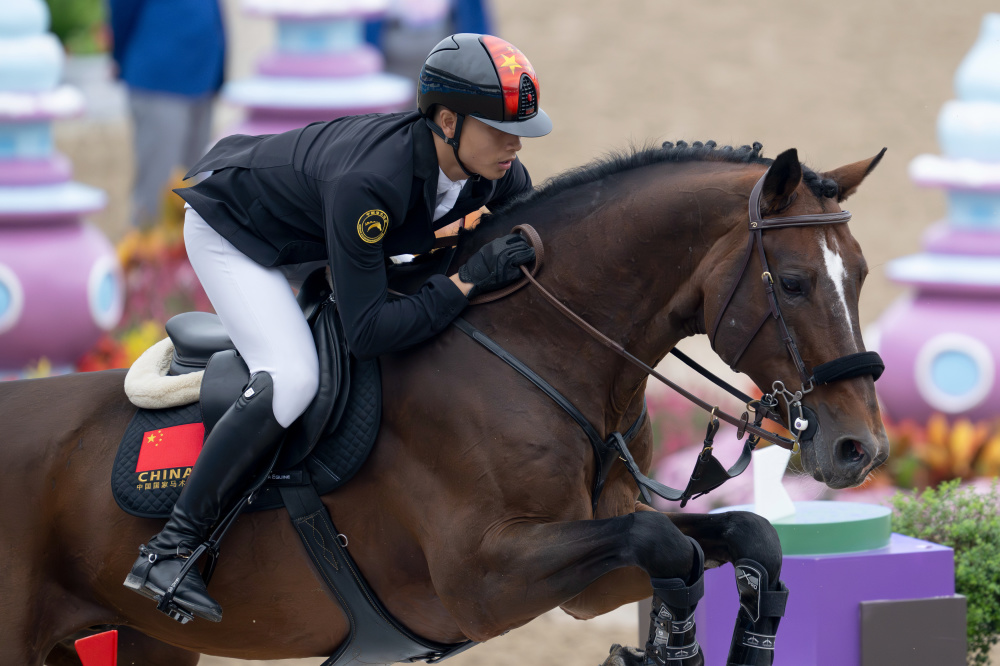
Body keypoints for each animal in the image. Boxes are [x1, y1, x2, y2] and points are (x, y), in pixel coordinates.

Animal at [0, 140, 888, 666]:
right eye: (795, 283)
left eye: (862, 274)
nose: (860, 450)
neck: (538, 348)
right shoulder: (486, 578)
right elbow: (664, 545)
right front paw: (668, 643)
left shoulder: (584, 577)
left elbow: (743, 537)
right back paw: (170, 564)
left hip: (149, 641)